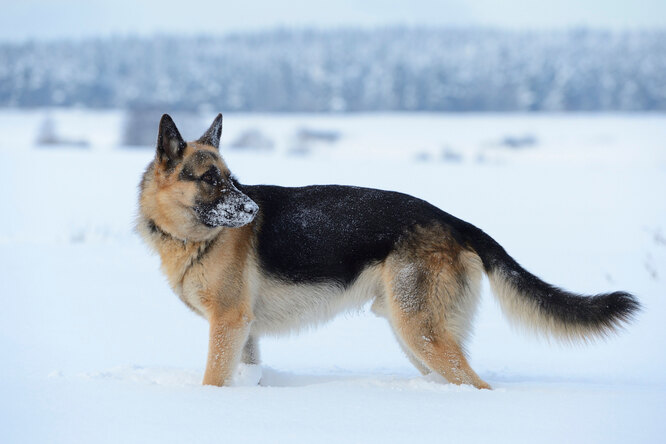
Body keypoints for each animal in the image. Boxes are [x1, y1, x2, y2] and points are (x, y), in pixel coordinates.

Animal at [136, 114, 640, 388]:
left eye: (231, 179)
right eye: (208, 179)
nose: (254, 209)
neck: (193, 237)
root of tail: (454, 222)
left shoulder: (227, 324)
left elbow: (212, 378)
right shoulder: (244, 331)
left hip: (418, 331)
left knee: (477, 384)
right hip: (414, 334)